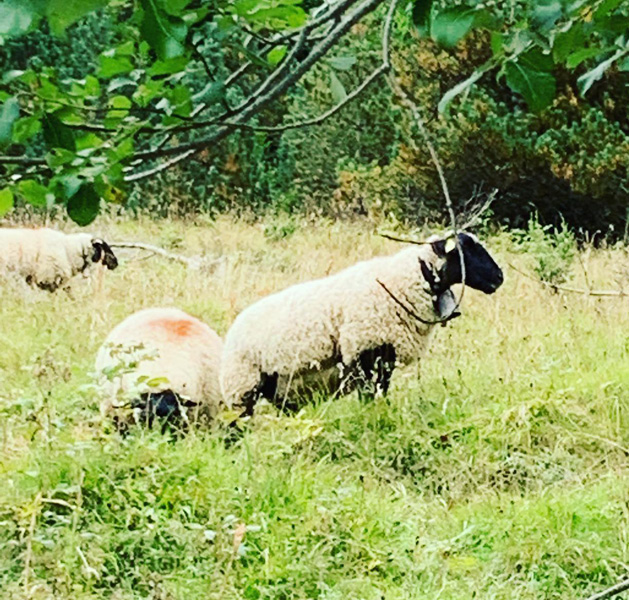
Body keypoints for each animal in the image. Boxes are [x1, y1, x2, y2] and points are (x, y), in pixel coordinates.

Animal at [218, 231, 502, 418]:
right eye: (467, 250)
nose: (499, 277)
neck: (405, 281)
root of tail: (232, 332)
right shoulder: (364, 350)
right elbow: (367, 395)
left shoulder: (385, 356)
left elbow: (381, 391)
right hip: (242, 388)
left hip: (278, 389)